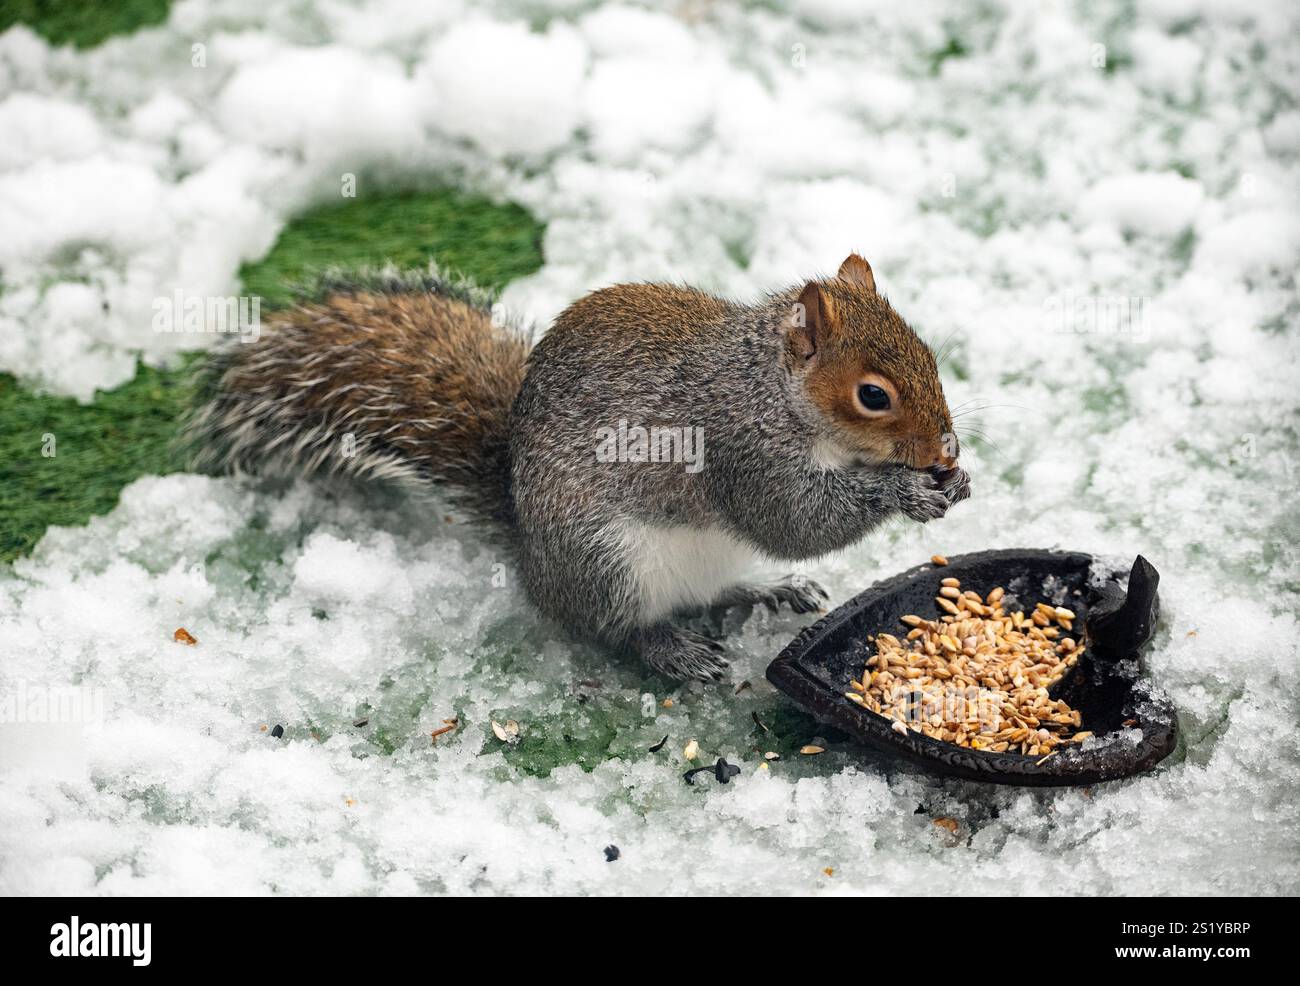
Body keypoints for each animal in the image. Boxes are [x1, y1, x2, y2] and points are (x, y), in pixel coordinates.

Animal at [188, 254, 972, 681]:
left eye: (930, 355)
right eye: (873, 396)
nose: (943, 451)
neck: (769, 389)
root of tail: (532, 562)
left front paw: (952, 482)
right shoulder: (737, 449)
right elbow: (792, 520)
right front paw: (902, 491)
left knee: (712, 589)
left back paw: (766, 589)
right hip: (607, 561)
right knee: (613, 627)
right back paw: (672, 649)